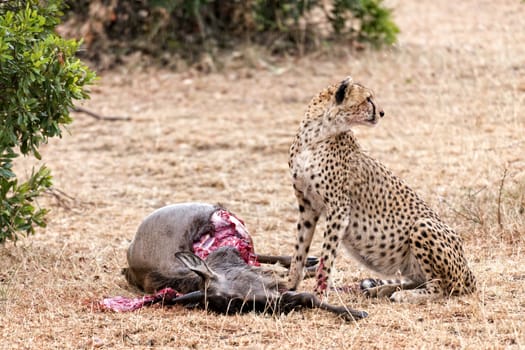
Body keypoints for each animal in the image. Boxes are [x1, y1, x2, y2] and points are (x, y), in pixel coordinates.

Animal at [286, 77, 474, 304]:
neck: (315, 134)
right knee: (419, 280)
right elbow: (299, 250)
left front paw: (318, 296)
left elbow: (327, 257)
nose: (382, 112)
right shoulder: (307, 205)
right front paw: (289, 287)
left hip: (423, 225)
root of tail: (469, 273)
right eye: (368, 99)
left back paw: (404, 295)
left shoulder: (338, 208)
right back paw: (382, 290)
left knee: (440, 287)